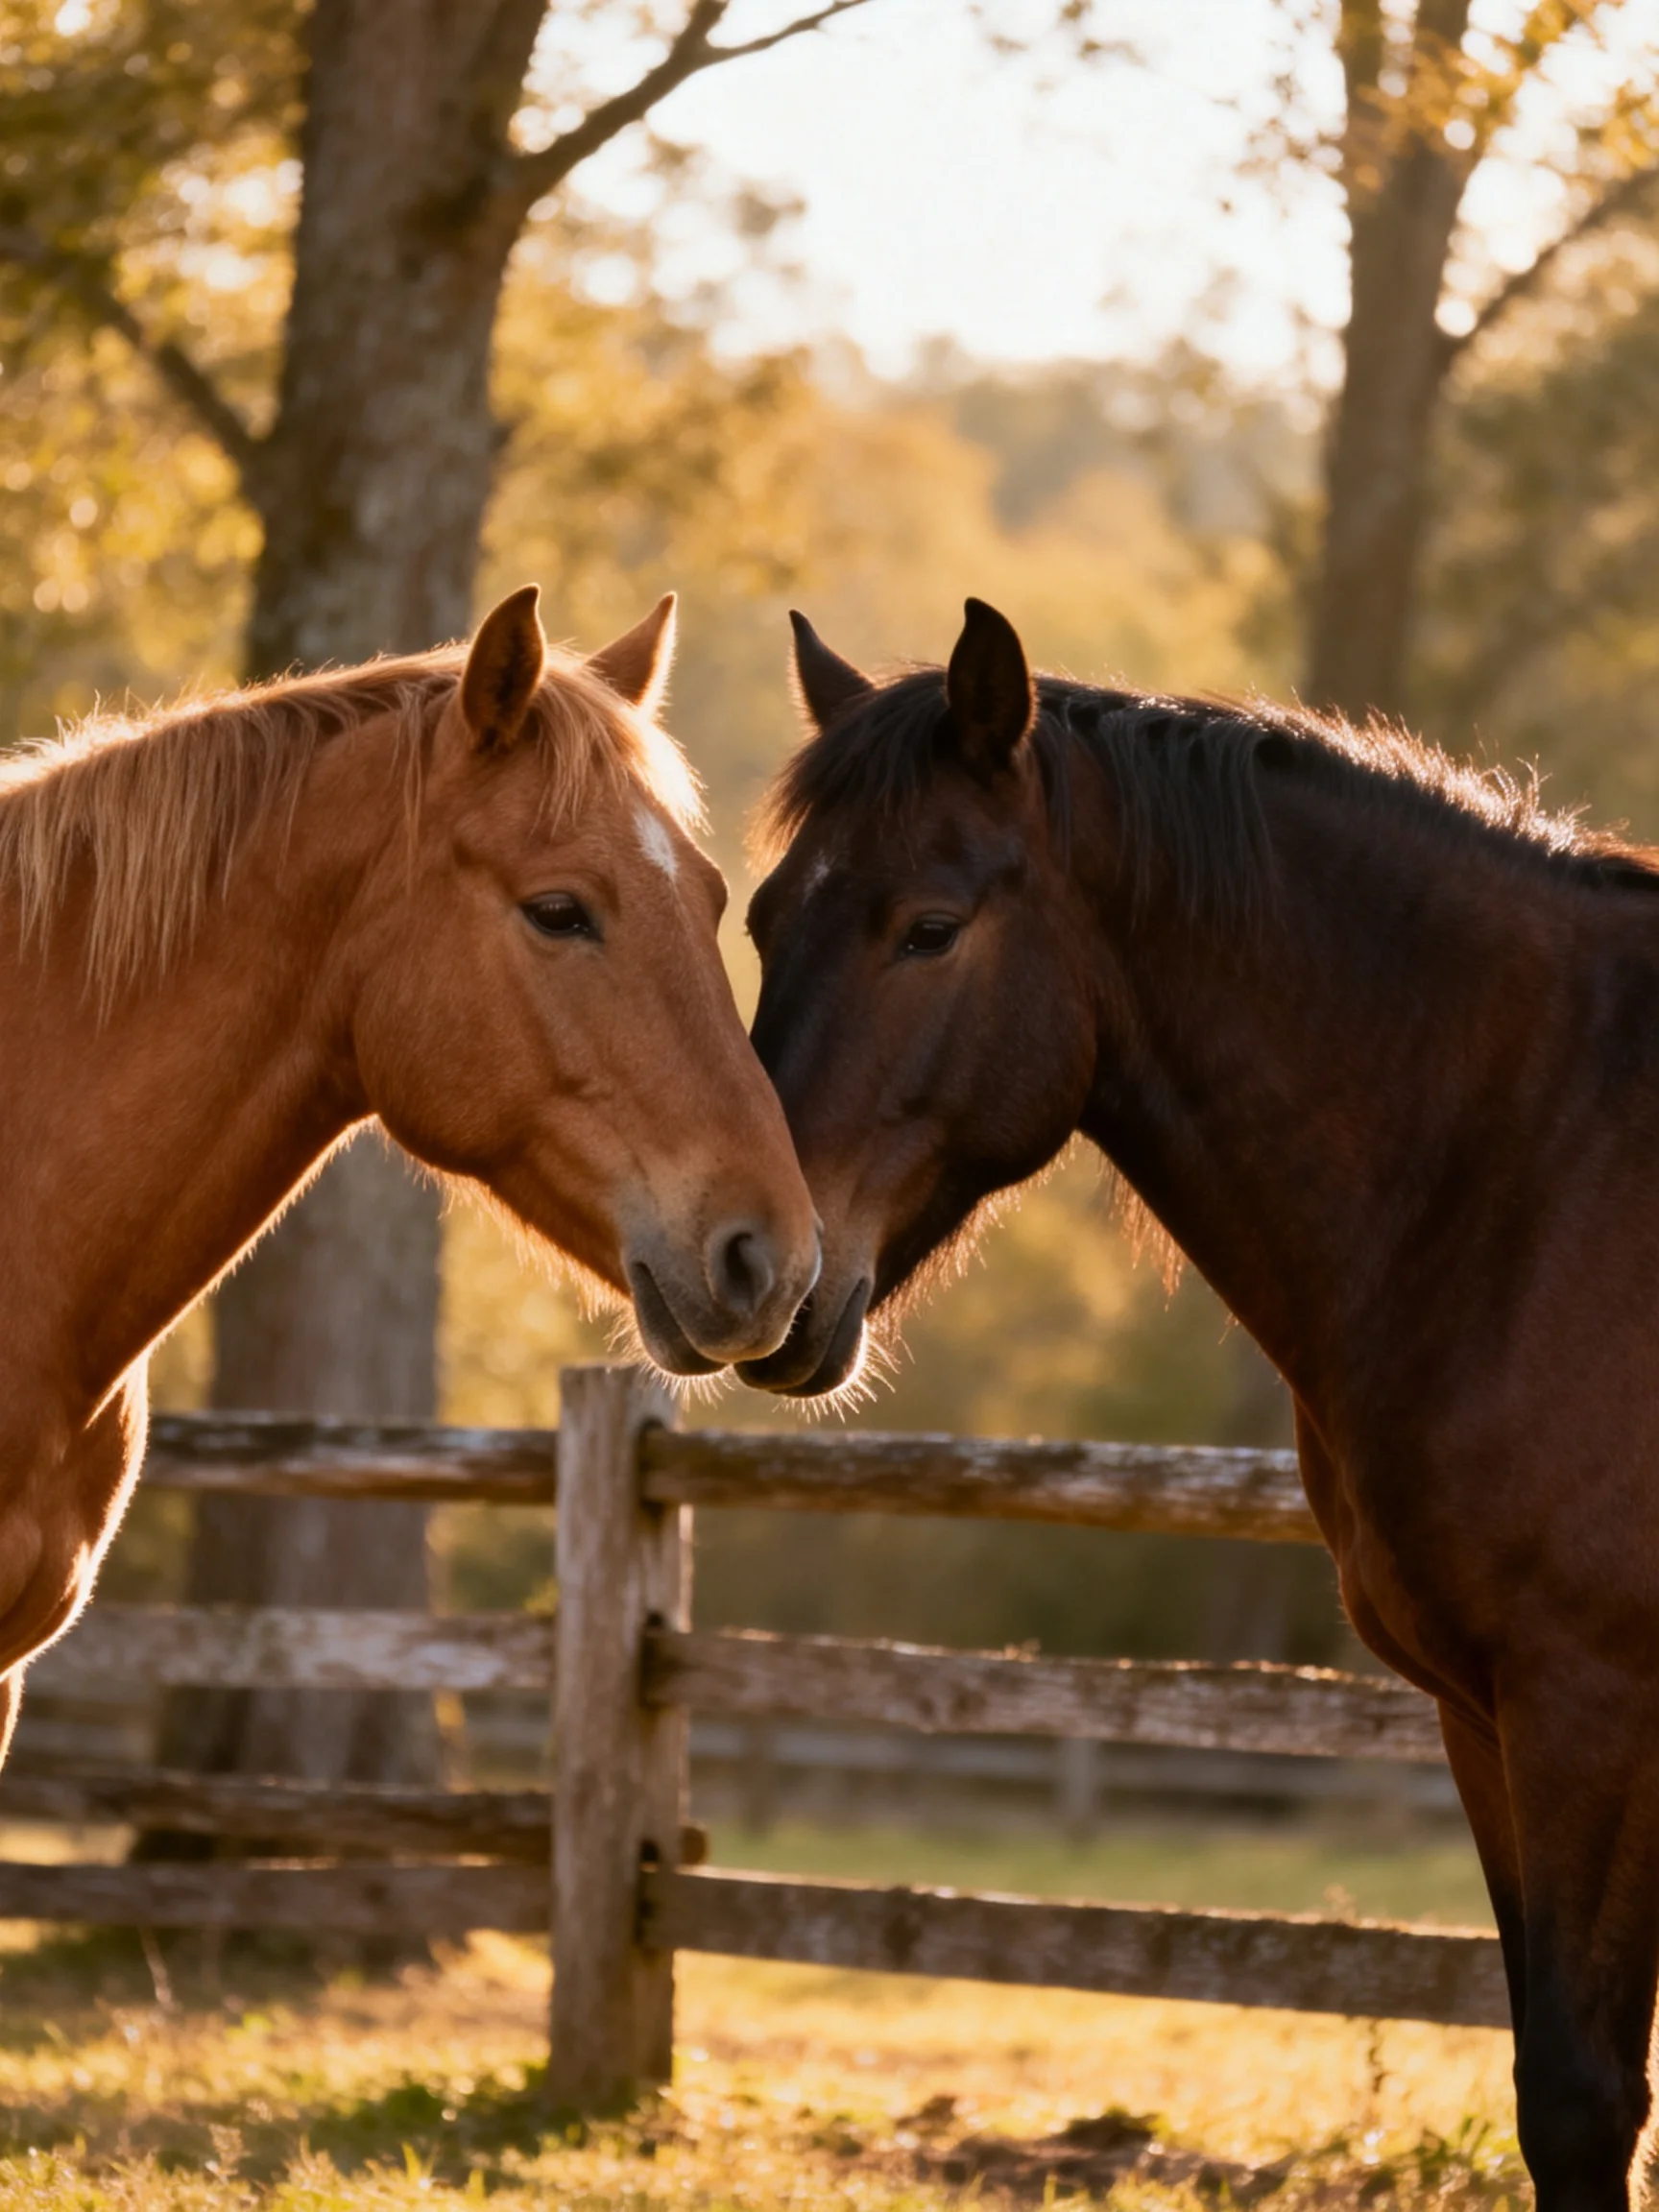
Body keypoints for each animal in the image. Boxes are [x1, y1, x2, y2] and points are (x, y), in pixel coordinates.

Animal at [742, 595, 1659, 2209]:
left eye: (931, 927)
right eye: (761, 919)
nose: (741, 1264)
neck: (1539, 1169)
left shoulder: (1591, 1711)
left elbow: (1580, 2102)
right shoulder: (1484, 1720)